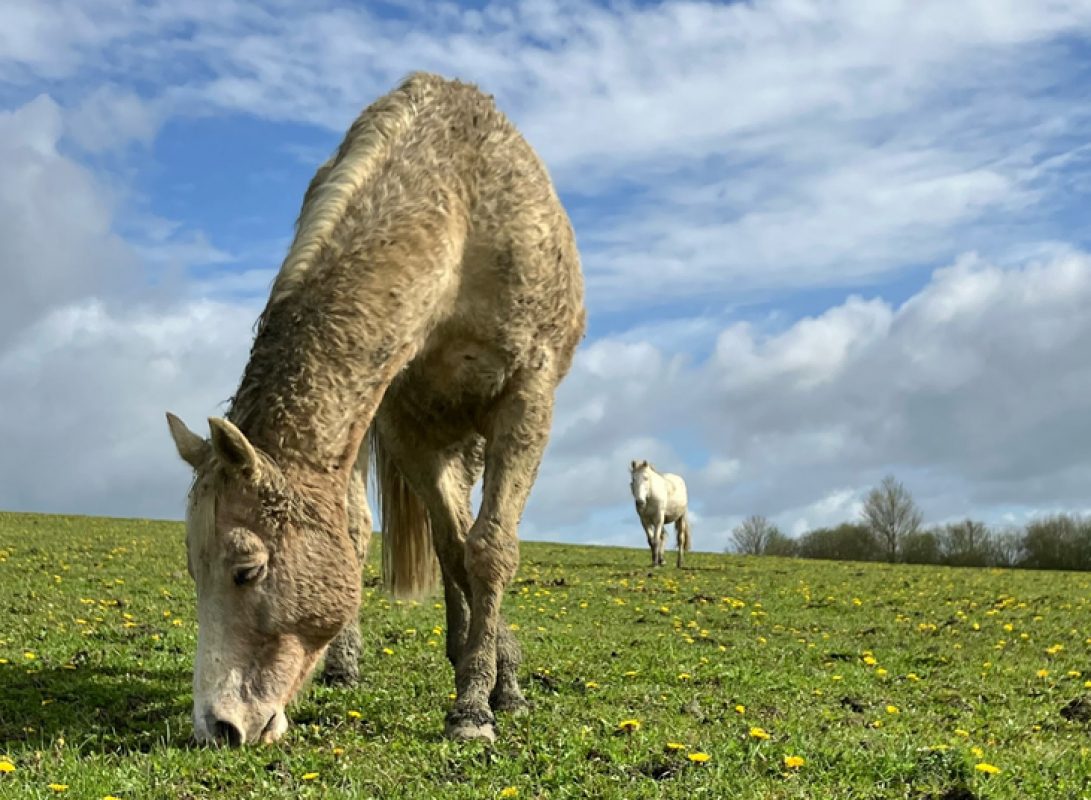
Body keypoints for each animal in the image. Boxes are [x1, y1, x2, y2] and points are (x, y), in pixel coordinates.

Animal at [165, 72, 586, 746]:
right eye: (192, 570)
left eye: (246, 570)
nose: (218, 727)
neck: (463, 213)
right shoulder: (405, 425)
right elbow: (454, 551)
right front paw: (477, 682)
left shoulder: (527, 398)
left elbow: (490, 549)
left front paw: (484, 702)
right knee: (396, 533)